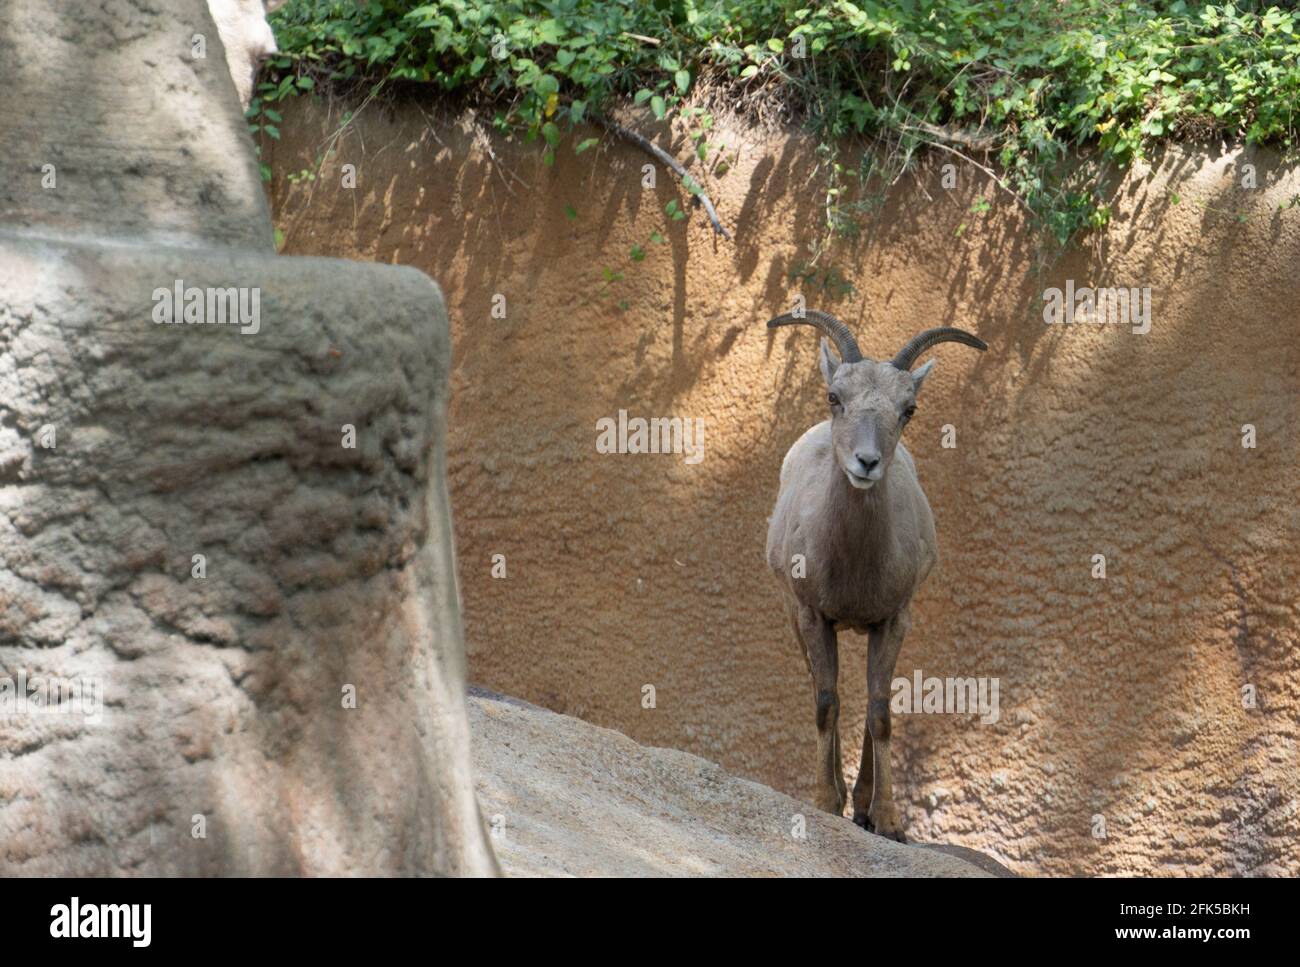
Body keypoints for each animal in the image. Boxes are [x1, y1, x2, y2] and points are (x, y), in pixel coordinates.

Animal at [759, 308, 982, 837]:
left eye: (909, 409)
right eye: (834, 397)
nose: (866, 462)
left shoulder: (893, 619)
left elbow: (880, 711)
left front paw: (887, 820)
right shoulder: (811, 615)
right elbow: (825, 702)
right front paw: (825, 803)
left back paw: (859, 804)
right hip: (795, 618)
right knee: (823, 690)